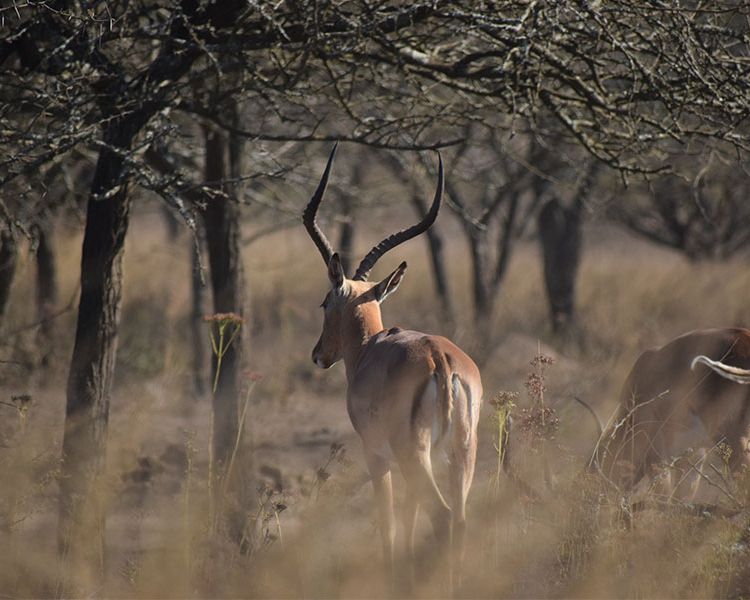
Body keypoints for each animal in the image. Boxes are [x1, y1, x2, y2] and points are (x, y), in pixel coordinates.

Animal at [304, 146, 484, 592]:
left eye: (324, 302)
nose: (318, 354)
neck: (370, 349)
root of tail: (441, 359)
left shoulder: (376, 455)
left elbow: (387, 523)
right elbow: (406, 520)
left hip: (413, 454)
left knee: (442, 517)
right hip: (460, 453)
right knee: (460, 520)